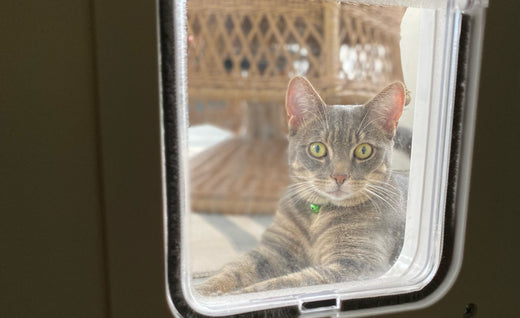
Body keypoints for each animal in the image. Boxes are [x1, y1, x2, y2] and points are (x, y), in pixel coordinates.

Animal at [197, 76, 408, 296]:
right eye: (317, 148)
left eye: (364, 150)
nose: (339, 176)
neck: (316, 216)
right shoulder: (275, 248)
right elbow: (236, 268)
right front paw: (205, 290)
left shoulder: (358, 266)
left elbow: (286, 283)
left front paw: (239, 294)